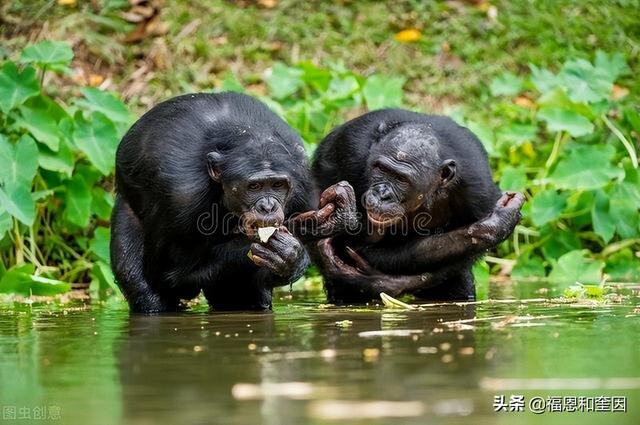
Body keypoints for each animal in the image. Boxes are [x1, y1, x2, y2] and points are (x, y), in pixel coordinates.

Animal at [110, 93, 356, 312]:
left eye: (277, 185)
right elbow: (171, 275)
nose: (268, 206)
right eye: (254, 187)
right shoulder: (180, 195)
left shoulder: (303, 182)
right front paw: (286, 250)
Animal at [312, 108, 524, 302]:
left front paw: (493, 225)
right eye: (381, 169)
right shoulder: (349, 154)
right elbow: (350, 241)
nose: (382, 193)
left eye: (401, 179)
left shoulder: (479, 189)